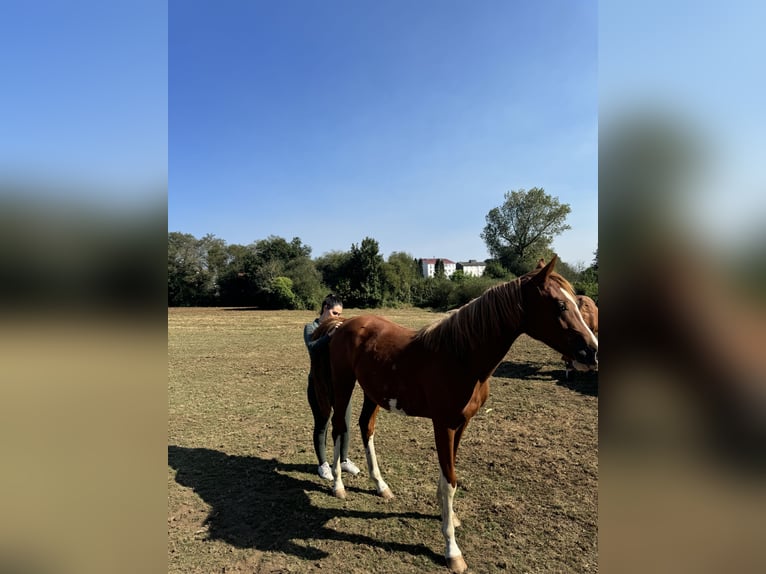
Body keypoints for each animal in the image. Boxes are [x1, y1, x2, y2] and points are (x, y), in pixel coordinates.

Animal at [310, 256, 598, 573]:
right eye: (560, 305)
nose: (592, 351)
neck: (461, 356)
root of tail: (342, 324)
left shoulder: (461, 424)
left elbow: (448, 476)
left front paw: (449, 517)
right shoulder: (443, 425)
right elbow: (450, 481)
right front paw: (452, 550)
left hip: (372, 393)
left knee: (365, 427)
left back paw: (381, 486)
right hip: (344, 385)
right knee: (339, 428)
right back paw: (338, 485)